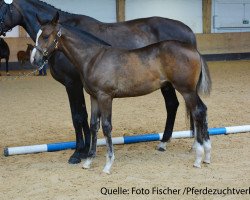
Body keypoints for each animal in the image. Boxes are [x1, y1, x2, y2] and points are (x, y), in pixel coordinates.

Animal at [0, 0, 199, 164]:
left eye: (2, 6)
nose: (35, 59)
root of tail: (189, 31)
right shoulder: (80, 87)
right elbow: (83, 116)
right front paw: (86, 150)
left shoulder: (73, 84)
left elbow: (79, 116)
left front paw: (79, 152)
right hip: (167, 83)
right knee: (173, 105)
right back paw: (164, 142)